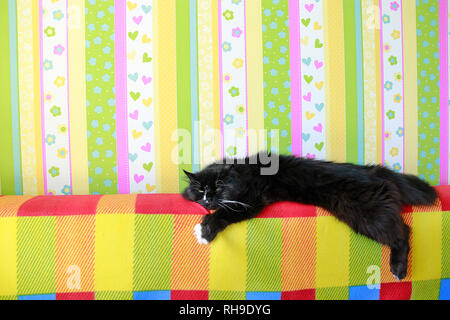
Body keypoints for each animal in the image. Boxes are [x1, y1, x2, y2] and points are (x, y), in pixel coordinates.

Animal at [181, 152, 438, 280]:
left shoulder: (250, 199)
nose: (208, 199)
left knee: (403, 232)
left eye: (219, 187)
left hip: (368, 215)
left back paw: (398, 269)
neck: (242, 172)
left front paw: (204, 231)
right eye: (201, 190)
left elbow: (224, 213)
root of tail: (374, 171)